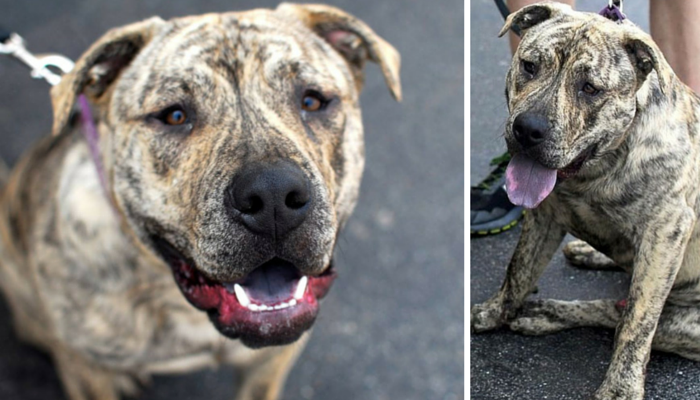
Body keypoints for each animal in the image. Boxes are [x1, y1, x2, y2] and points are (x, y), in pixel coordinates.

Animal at [470, 3, 700, 400]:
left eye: (590, 89)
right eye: (529, 66)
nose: (528, 129)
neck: (599, 168)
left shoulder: (666, 232)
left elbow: (637, 323)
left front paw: (621, 388)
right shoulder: (543, 216)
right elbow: (518, 269)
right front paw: (496, 311)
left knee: (618, 311)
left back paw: (547, 313)